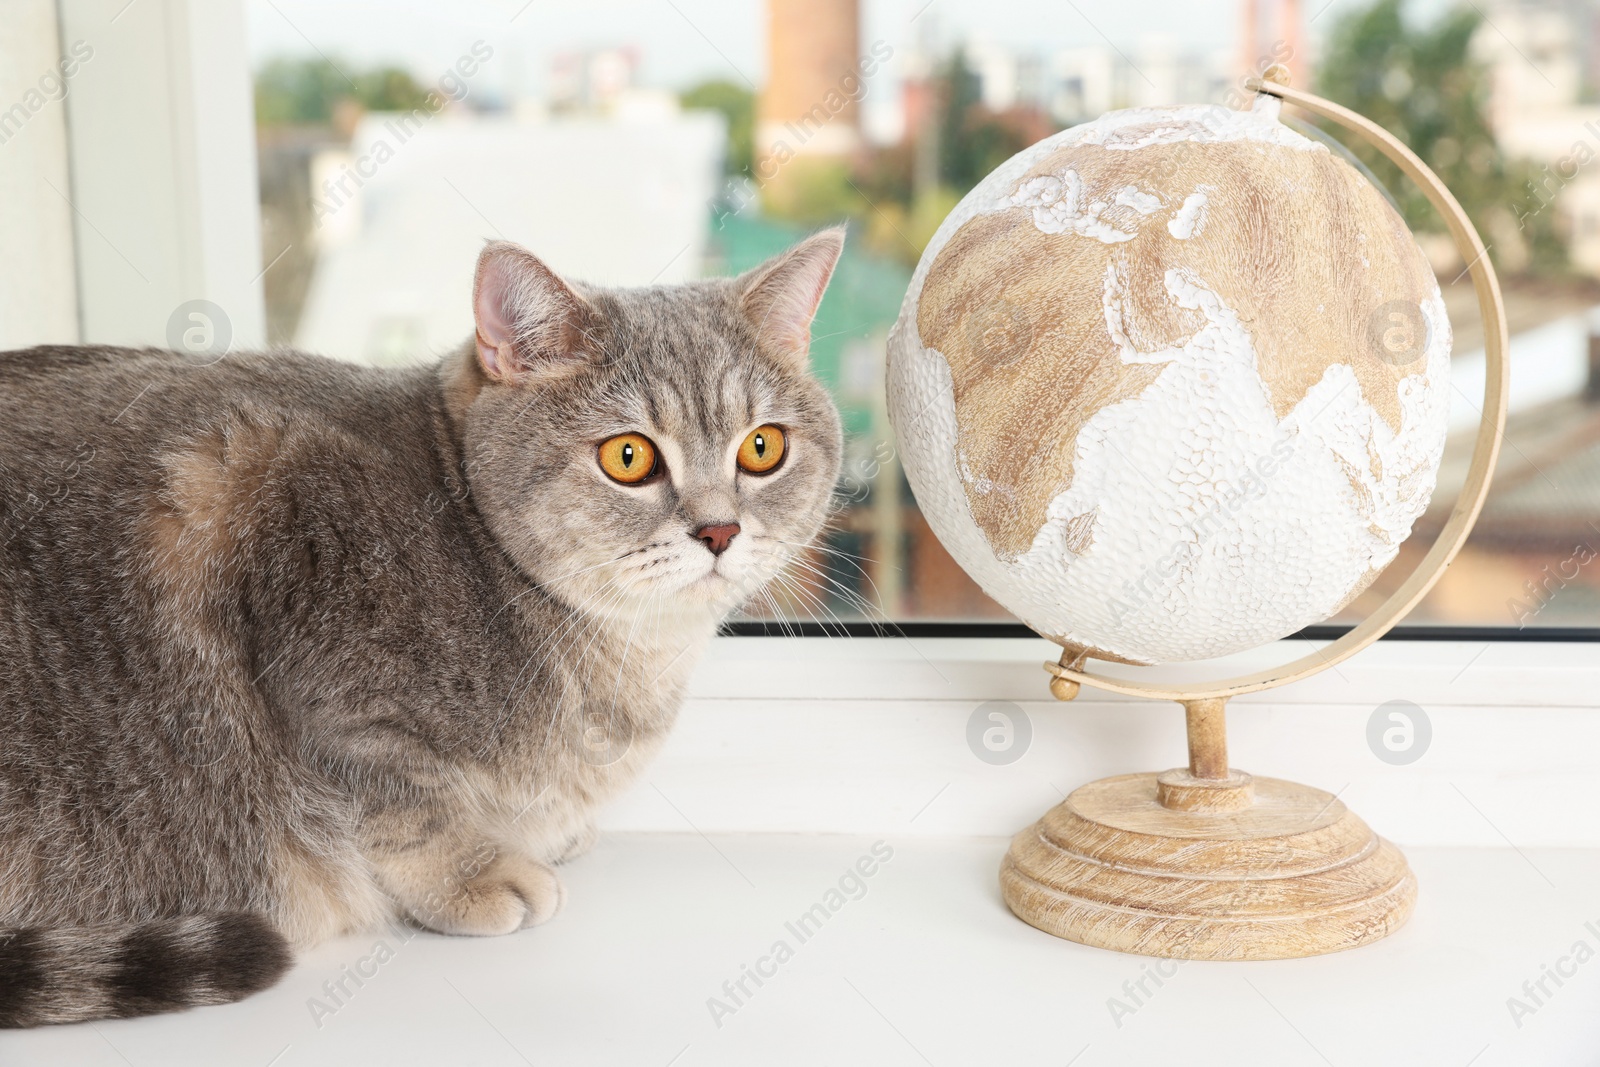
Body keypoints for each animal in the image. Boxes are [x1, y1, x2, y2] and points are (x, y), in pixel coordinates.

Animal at [0, 227, 851, 1023]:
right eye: (630, 457)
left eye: (763, 446)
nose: (719, 530)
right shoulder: (303, 589)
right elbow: (397, 798)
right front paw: (475, 870)